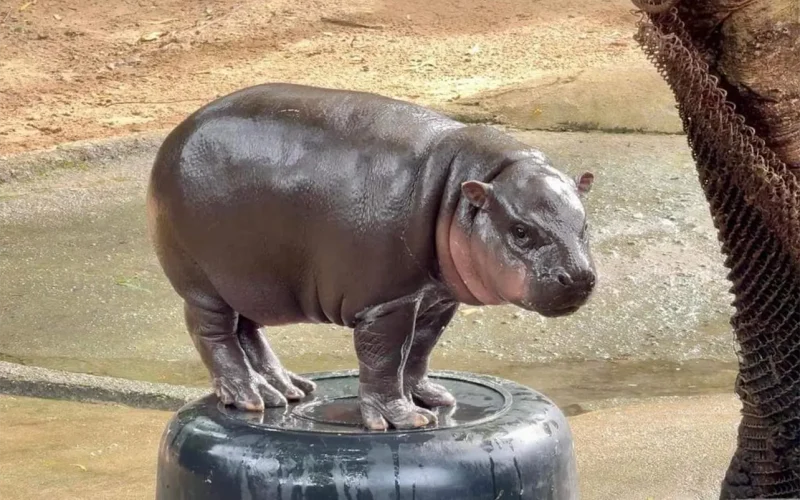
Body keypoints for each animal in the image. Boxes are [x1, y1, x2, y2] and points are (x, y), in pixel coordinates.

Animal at [146, 83, 596, 430]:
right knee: (213, 333)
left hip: (252, 279)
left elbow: (418, 351)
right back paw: (249, 396)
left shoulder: (435, 298)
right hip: (205, 284)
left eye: (585, 222)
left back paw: (287, 390)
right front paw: (405, 419)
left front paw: (431, 397)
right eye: (520, 230)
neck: (463, 188)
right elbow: (384, 358)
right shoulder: (387, 302)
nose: (578, 276)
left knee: (249, 331)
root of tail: (175, 135)